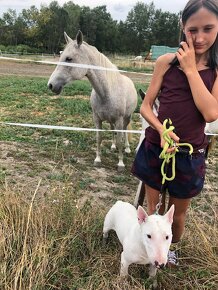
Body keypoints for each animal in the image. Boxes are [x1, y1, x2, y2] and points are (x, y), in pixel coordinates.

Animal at [47, 30, 137, 170]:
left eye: (69, 58)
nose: (51, 85)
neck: (107, 93)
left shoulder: (119, 119)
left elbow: (120, 139)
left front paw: (120, 163)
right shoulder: (97, 118)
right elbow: (99, 137)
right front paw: (98, 159)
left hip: (127, 117)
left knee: (125, 130)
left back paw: (127, 149)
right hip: (112, 120)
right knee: (113, 131)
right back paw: (112, 147)